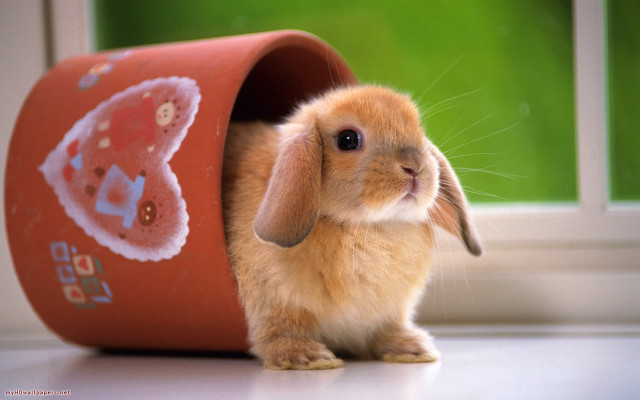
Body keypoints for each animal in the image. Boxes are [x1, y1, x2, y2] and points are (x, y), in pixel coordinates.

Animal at [221, 85, 482, 370]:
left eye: (419, 130)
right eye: (348, 140)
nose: (414, 167)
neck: (367, 226)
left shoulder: (389, 313)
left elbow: (385, 330)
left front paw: (413, 349)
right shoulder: (276, 305)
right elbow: (280, 332)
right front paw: (309, 358)